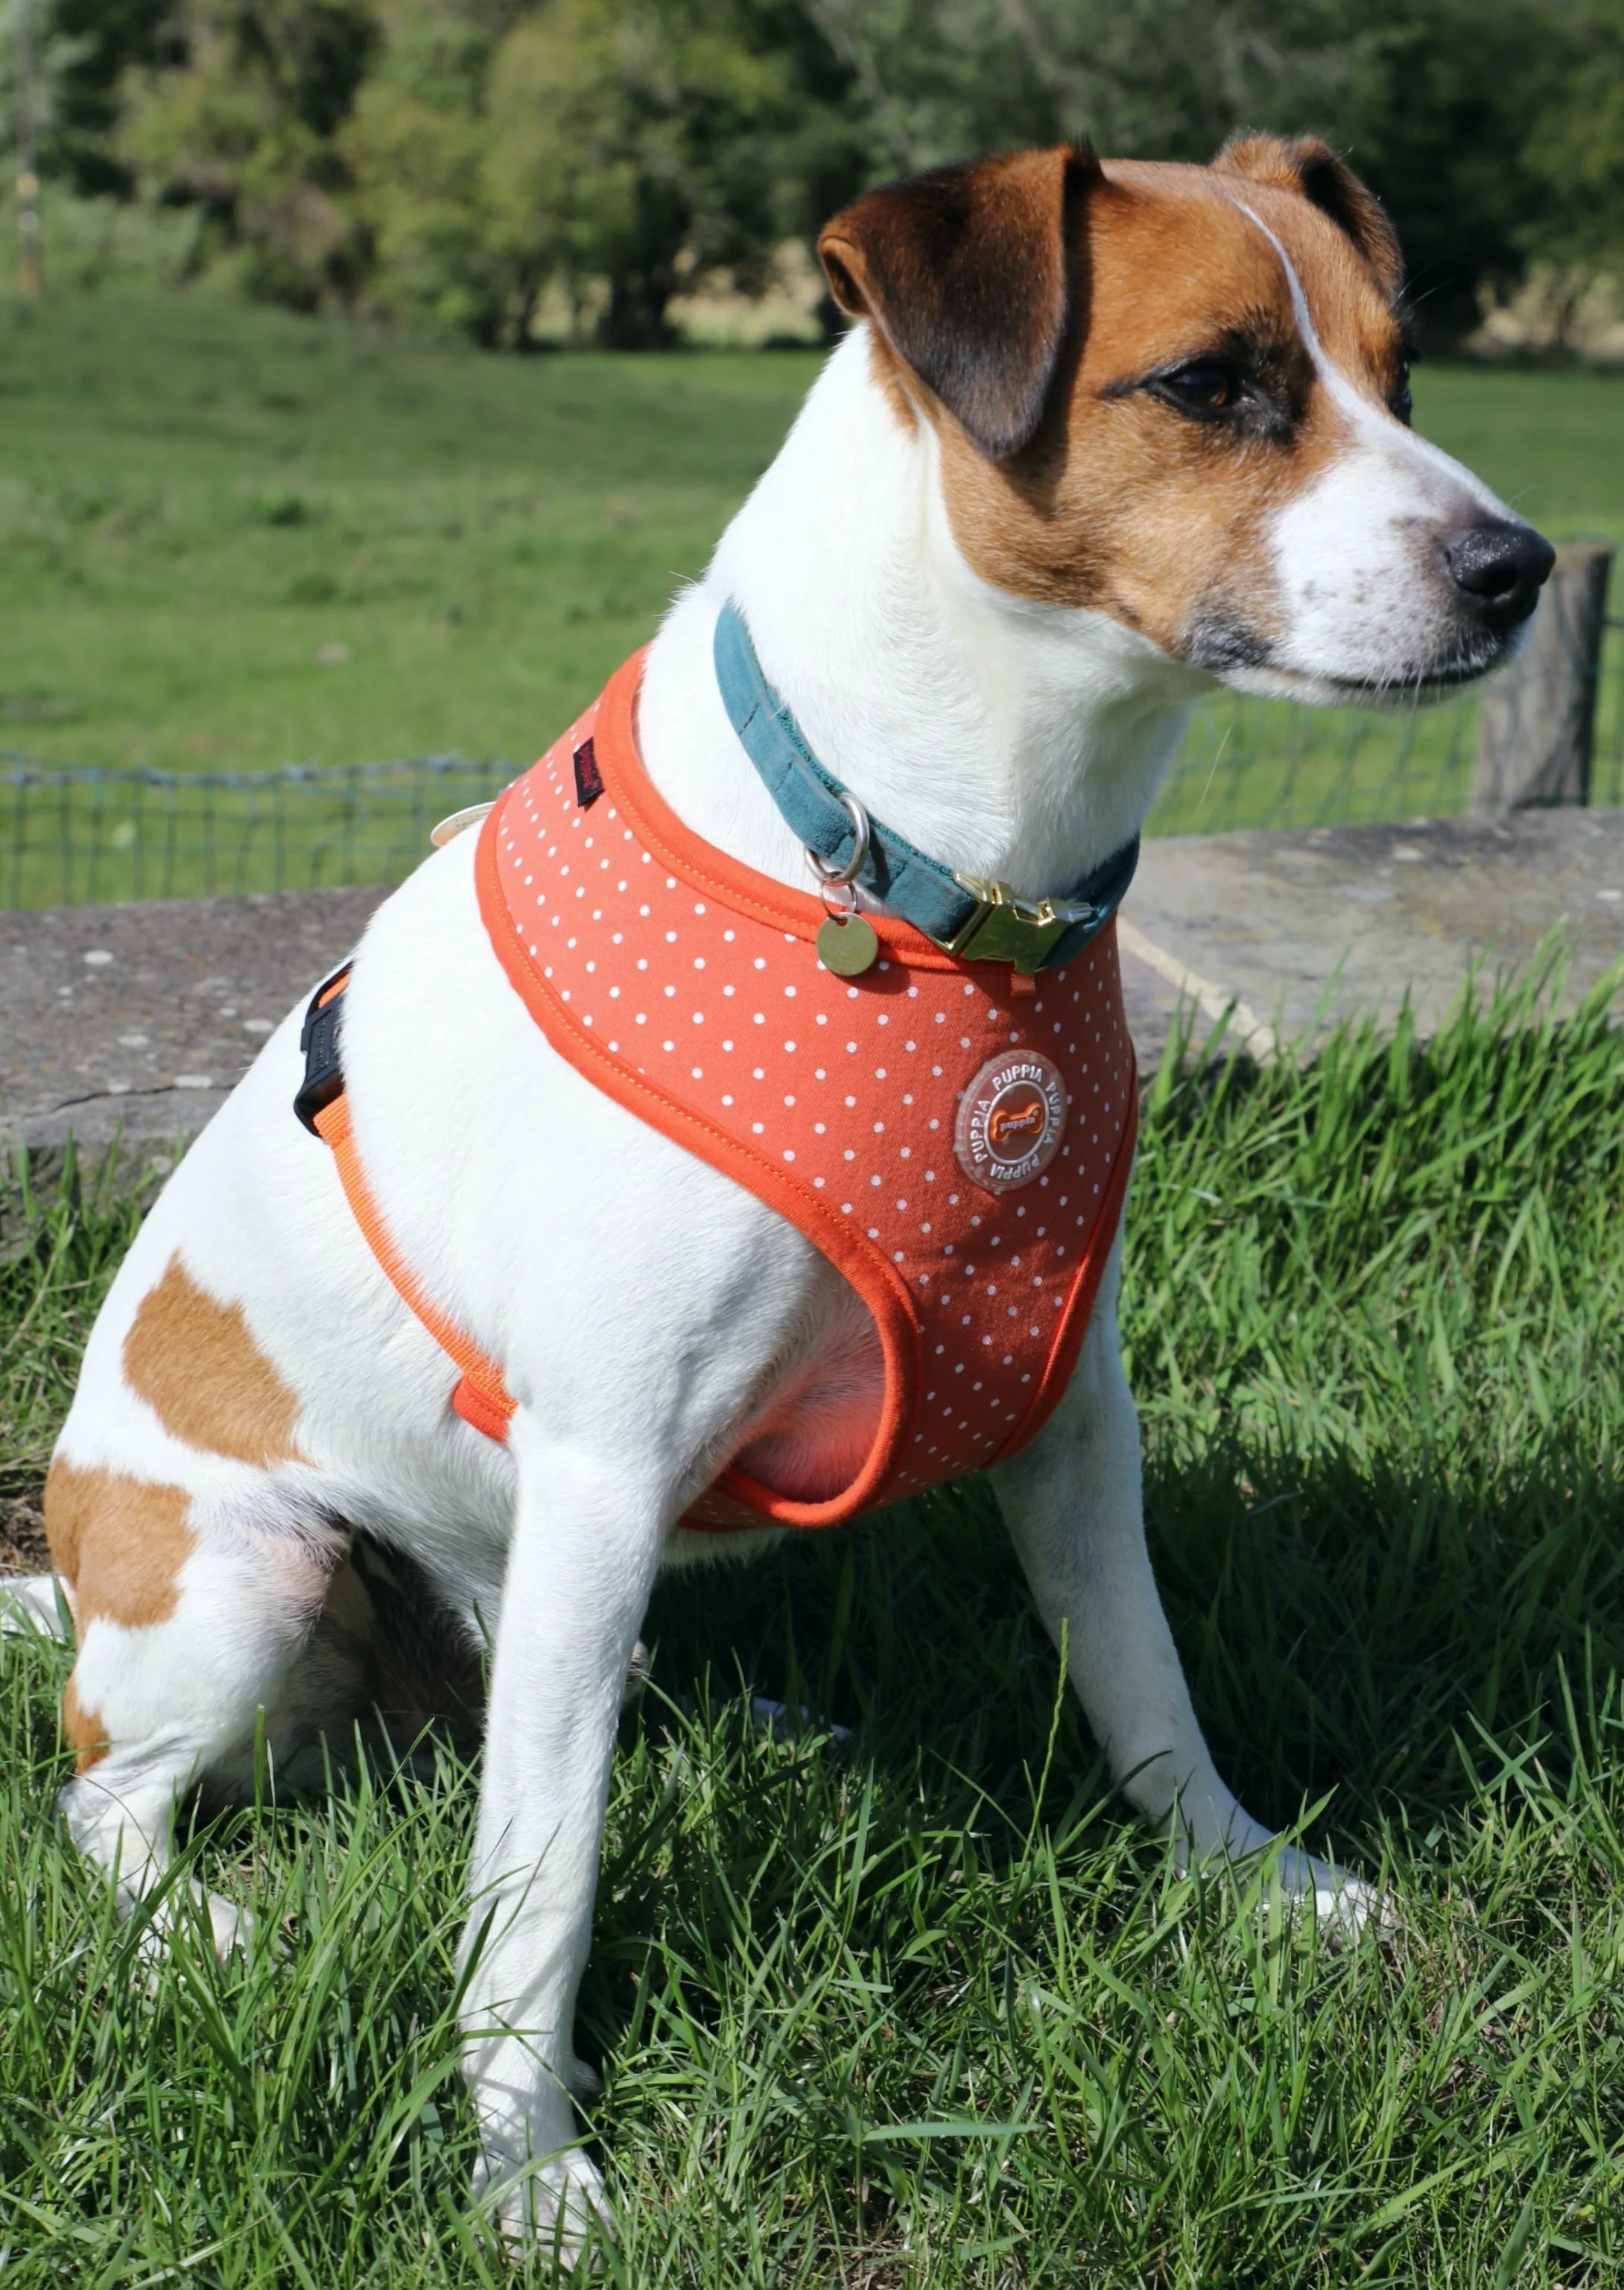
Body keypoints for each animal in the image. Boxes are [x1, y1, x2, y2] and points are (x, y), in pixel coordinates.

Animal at [6, 133, 1548, 2244]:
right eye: (1213, 382)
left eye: (1401, 371)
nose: (1520, 566)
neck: (922, 879)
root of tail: (75, 1554)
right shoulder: (600, 1464)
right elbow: (541, 1887)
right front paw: (526, 2161)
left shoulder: (1068, 1406)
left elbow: (1143, 1684)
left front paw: (1254, 1881)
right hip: (256, 1573)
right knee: (111, 1800)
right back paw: (197, 1931)